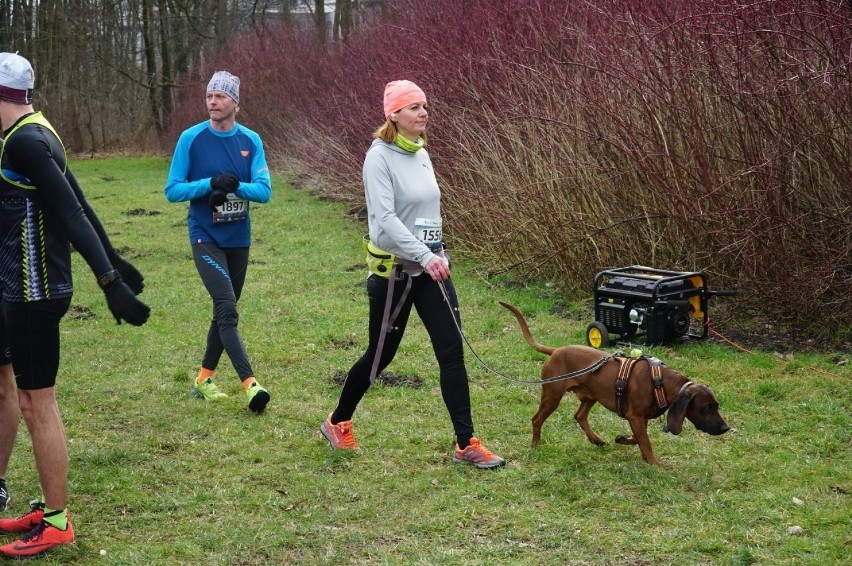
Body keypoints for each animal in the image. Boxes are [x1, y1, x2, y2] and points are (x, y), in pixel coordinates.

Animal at [500, 302, 732, 466]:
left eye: (717, 406)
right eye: (706, 408)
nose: (725, 428)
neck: (661, 382)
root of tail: (555, 351)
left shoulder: (638, 419)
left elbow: (638, 439)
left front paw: (623, 440)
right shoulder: (635, 417)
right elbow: (645, 441)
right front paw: (655, 463)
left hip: (590, 396)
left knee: (579, 416)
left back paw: (596, 439)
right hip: (552, 396)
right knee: (537, 419)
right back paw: (536, 445)